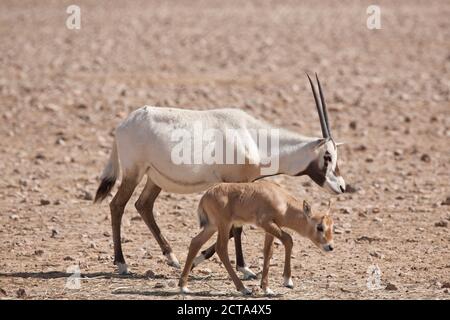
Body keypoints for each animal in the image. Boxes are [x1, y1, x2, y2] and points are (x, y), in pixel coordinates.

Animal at [179, 181, 334, 296]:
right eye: (320, 227)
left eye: (331, 226)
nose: (330, 246)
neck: (282, 202)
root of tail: (206, 196)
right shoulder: (266, 223)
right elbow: (288, 239)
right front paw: (287, 281)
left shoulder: (270, 229)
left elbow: (268, 252)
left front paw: (267, 288)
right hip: (223, 225)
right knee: (221, 248)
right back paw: (243, 289)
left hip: (211, 227)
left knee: (195, 242)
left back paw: (183, 286)